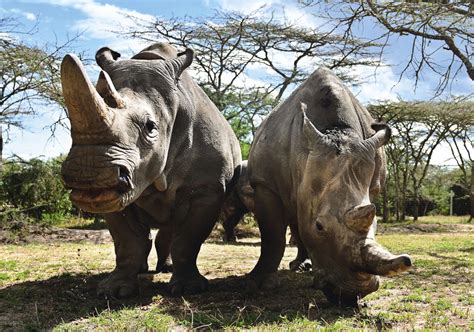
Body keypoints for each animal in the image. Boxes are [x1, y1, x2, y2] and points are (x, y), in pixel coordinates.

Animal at [60, 42, 241, 300]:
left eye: (151, 127)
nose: (89, 173)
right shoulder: (113, 195)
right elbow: (127, 241)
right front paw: (114, 291)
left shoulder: (208, 189)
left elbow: (188, 240)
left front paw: (189, 289)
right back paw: (144, 269)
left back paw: (167, 269)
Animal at [248, 67, 412, 306]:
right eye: (319, 226)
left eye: (376, 224)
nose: (352, 294)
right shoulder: (264, 182)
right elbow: (272, 235)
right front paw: (259, 284)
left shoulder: (372, 186)